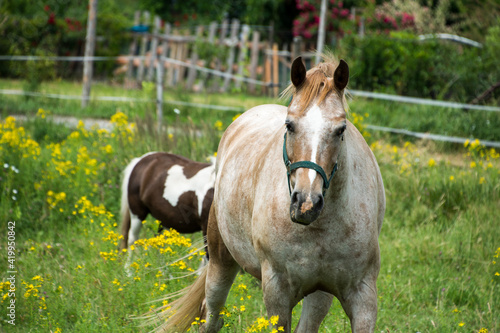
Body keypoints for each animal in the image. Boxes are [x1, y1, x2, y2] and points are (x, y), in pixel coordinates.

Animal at [148, 54, 386, 332]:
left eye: (340, 129)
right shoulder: (277, 291)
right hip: (220, 262)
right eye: (290, 125)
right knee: (211, 317)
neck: (319, 228)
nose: (306, 203)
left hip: (319, 294)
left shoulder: (363, 296)